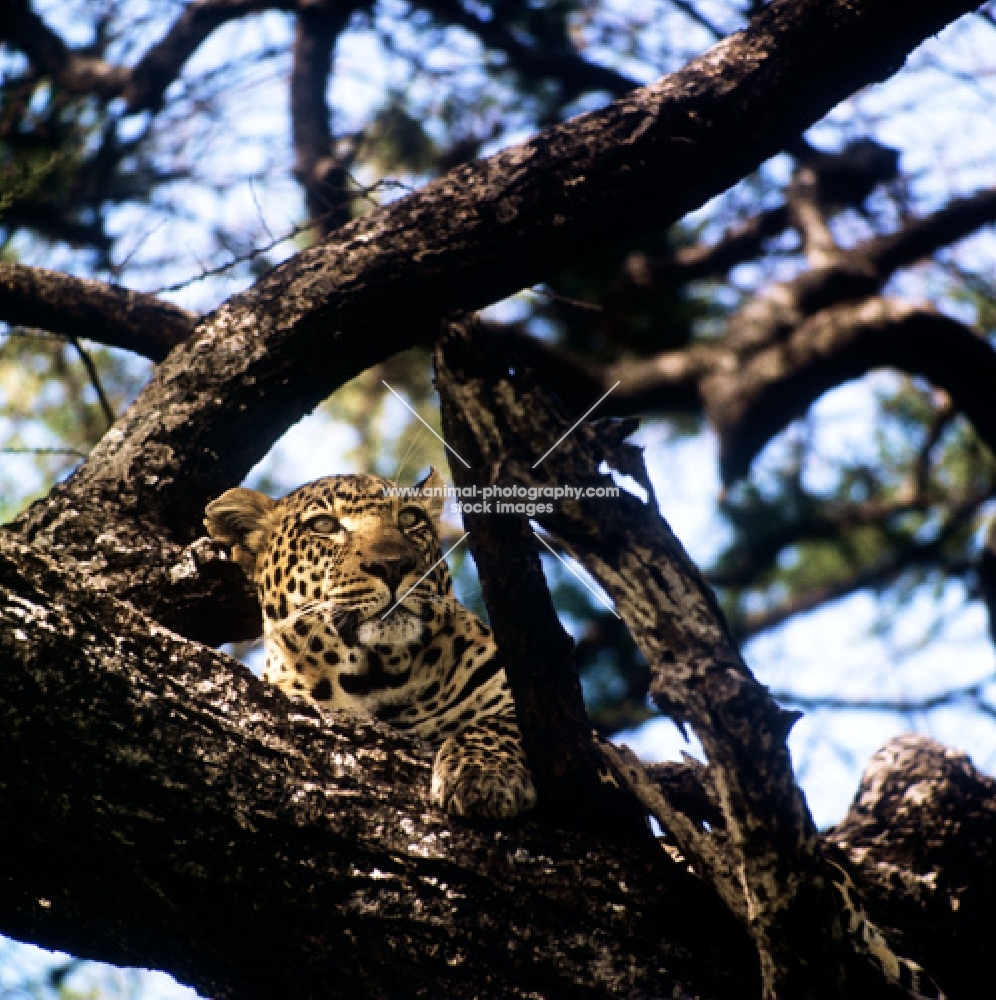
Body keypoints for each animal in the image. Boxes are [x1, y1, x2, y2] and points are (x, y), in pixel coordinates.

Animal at [201, 468, 536, 820]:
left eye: (409, 518)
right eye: (324, 525)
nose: (393, 564)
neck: (375, 679)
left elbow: (504, 720)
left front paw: (483, 774)